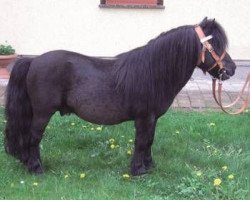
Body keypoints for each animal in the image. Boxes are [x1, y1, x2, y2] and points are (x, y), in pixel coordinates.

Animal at [5, 18, 236, 175]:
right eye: (215, 44)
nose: (231, 69)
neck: (153, 71)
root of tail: (33, 61)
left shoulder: (152, 118)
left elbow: (149, 141)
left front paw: (149, 166)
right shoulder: (145, 117)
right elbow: (142, 142)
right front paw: (138, 170)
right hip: (43, 113)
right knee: (33, 138)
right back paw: (36, 168)